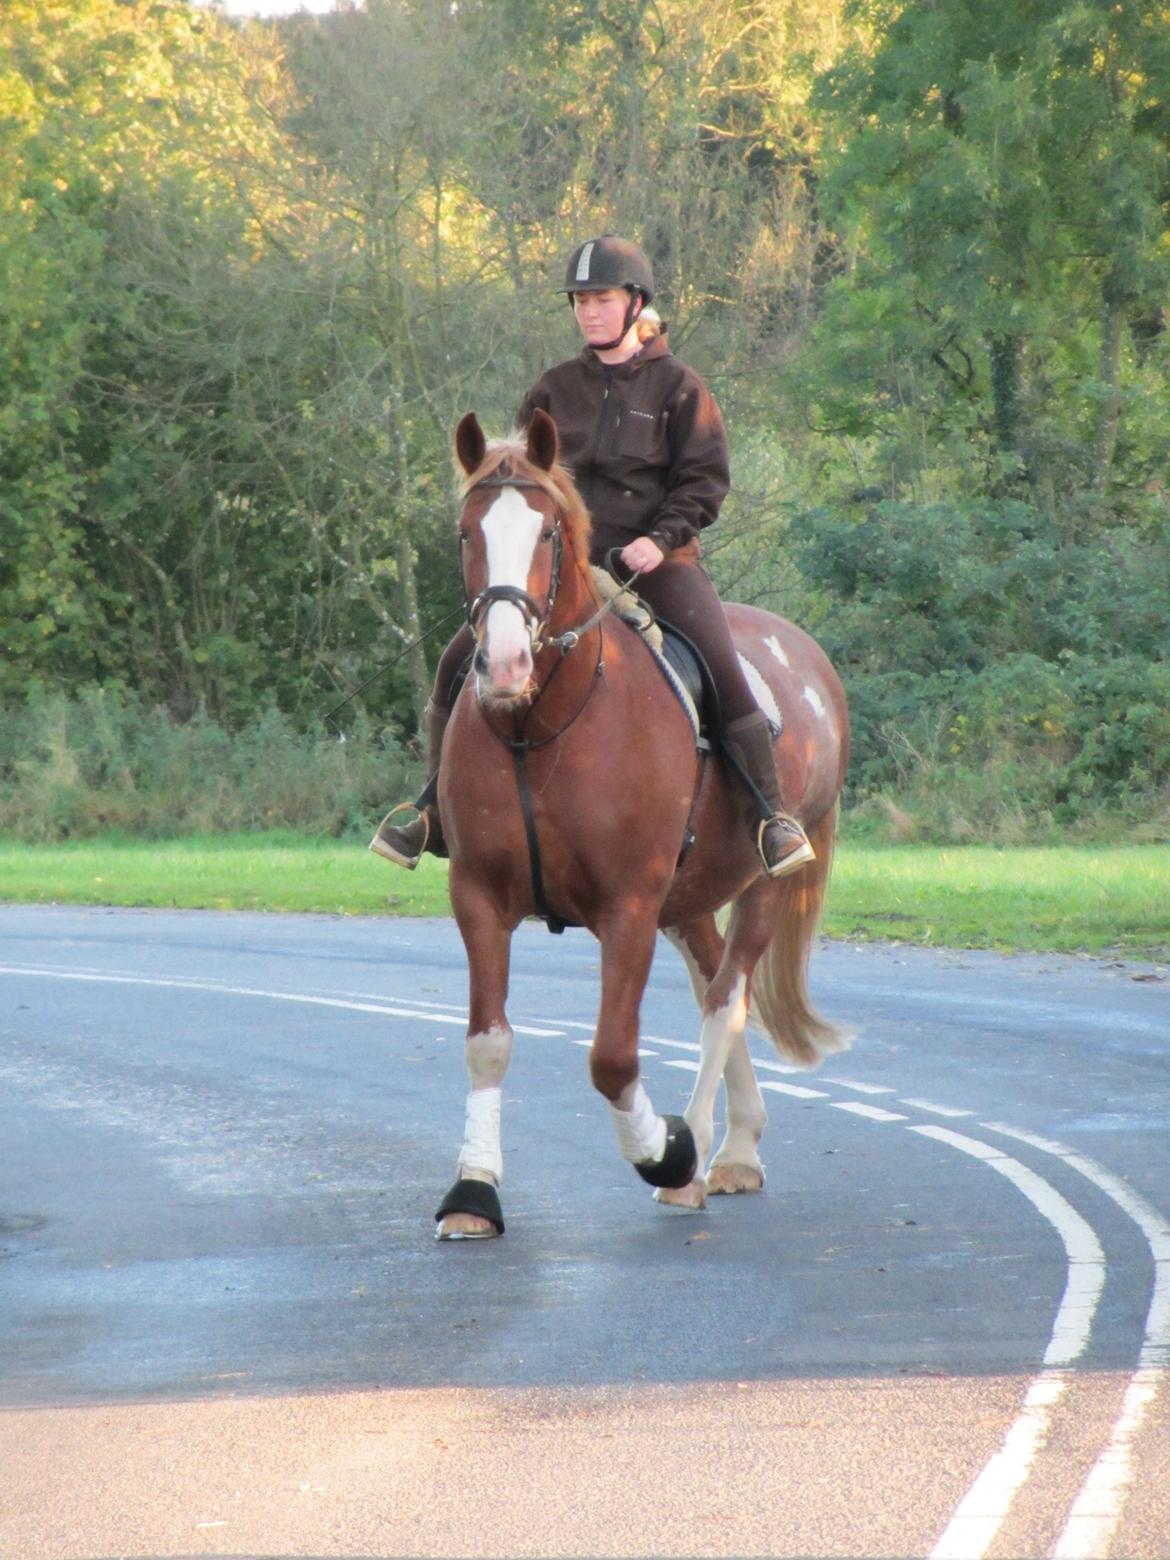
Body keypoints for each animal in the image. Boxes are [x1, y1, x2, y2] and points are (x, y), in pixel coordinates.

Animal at [430, 408, 854, 1235]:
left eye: (547, 533)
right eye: (467, 533)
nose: (503, 665)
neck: (545, 725)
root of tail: (809, 659)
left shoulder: (628, 907)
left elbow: (613, 1058)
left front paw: (668, 1151)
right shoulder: (479, 898)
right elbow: (487, 1044)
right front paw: (473, 1192)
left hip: (762, 885)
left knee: (725, 1003)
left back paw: (705, 1159)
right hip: (687, 900)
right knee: (717, 985)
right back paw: (739, 1144)